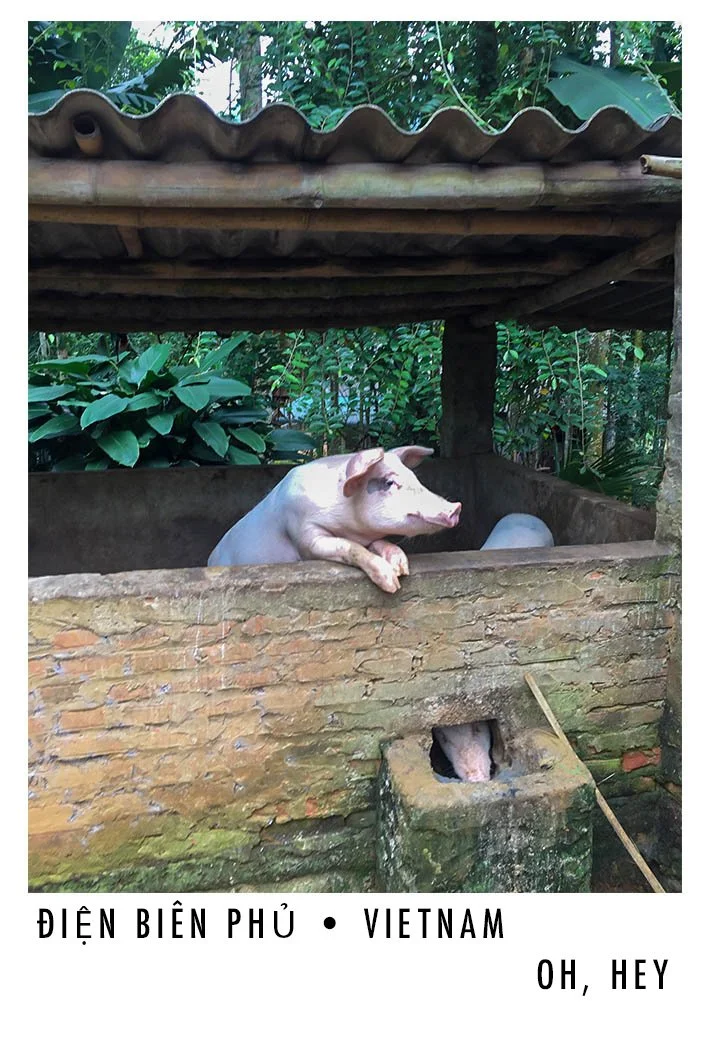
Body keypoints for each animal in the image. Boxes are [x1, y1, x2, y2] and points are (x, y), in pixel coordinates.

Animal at [207, 445, 461, 593]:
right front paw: (392, 583)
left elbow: (377, 543)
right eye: (389, 482)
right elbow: (350, 548)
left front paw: (401, 567)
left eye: (415, 479)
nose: (455, 508)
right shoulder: (304, 533)